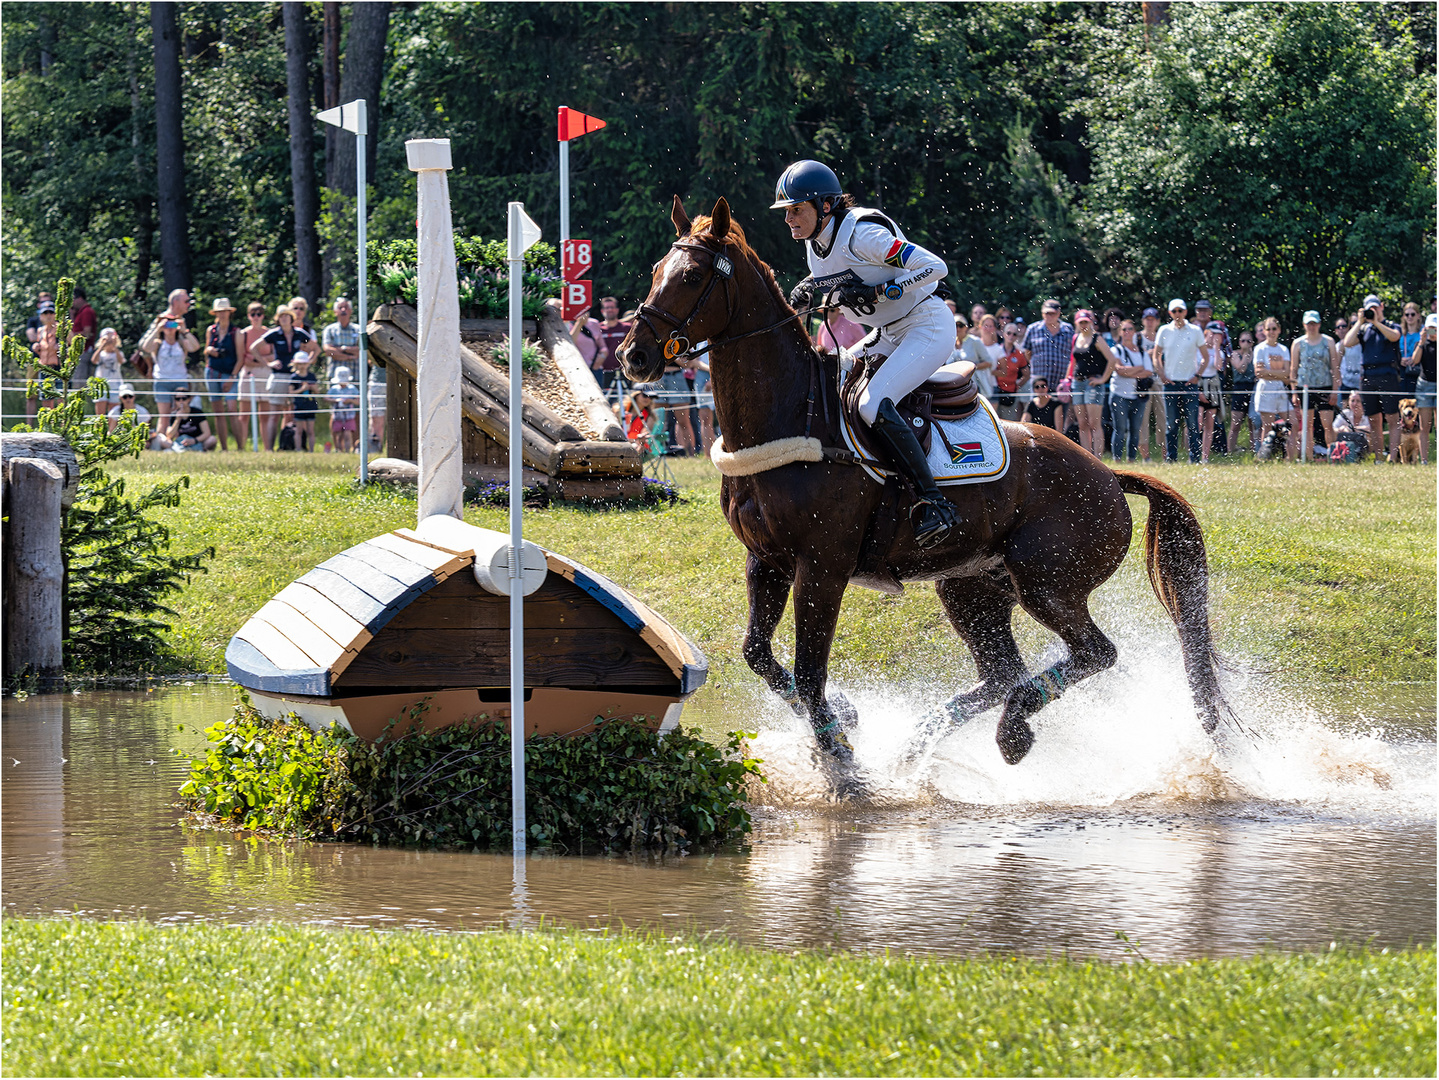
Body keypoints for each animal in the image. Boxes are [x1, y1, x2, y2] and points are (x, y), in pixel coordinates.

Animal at [613, 197, 1231, 770]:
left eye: (692, 276)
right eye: (656, 270)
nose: (632, 355)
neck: (792, 415)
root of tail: (1105, 472)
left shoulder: (822, 566)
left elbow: (810, 673)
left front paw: (839, 756)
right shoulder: (766, 560)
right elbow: (759, 655)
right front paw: (846, 718)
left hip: (1046, 581)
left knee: (1093, 653)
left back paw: (1010, 732)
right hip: (971, 585)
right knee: (1005, 672)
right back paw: (928, 743)